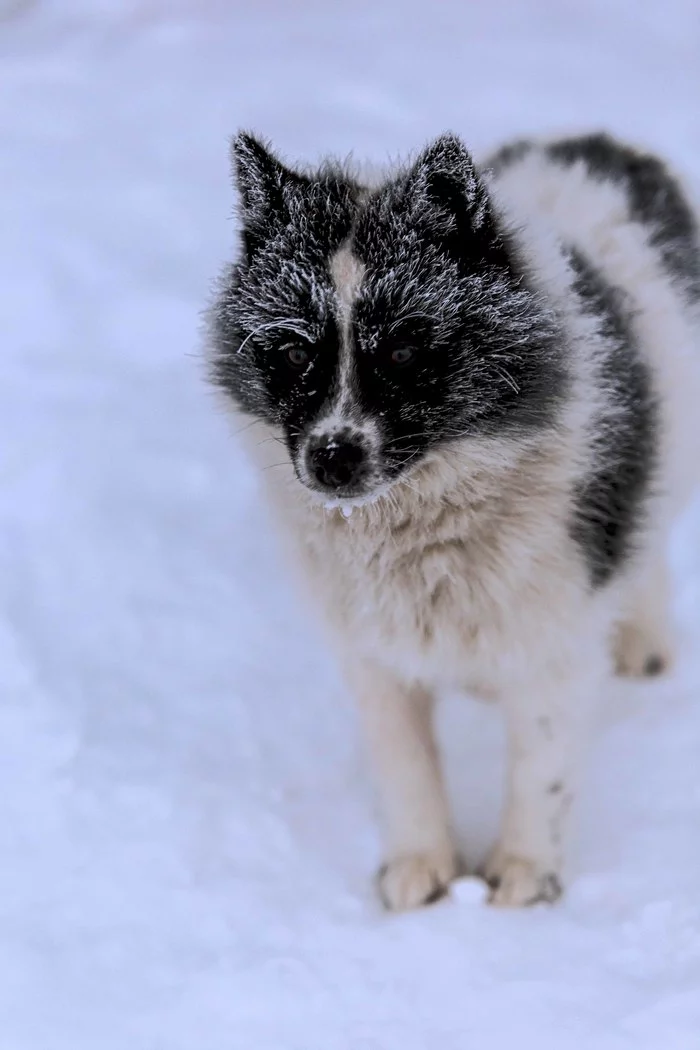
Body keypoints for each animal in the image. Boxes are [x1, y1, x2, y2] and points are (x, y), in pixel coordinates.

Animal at [206, 129, 700, 902]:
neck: (424, 531)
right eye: (291, 349)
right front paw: (421, 871)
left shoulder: (554, 647)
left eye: (405, 348)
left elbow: (540, 773)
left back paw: (643, 641)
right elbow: (406, 766)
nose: (332, 457)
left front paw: (523, 878)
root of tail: (595, 141)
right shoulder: (374, 659)